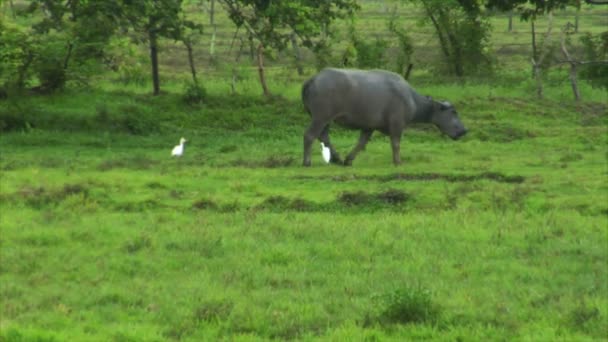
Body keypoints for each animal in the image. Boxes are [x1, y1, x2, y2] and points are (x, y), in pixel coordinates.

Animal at [302, 67, 468, 166]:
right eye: (453, 112)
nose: (464, 130)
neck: (411, 99)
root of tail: (313, 79)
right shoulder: (397, 124)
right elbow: (395, 143)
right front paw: (398, 161)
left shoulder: (368, 127)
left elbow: (361, 143)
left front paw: (349, 159)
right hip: (321, 117)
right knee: (310, 135)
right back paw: (307, 161)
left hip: (325, 120)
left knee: (324, 136)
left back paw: (337, 159)